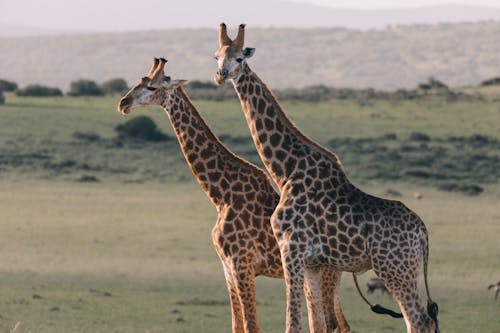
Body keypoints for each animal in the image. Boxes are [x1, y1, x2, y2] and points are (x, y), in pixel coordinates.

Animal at [117, 57, 352, 332]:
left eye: (152, 87)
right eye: (138, 81)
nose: (123, 103)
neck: (221, 195)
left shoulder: (242, 265)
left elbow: (251, 326)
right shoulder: (227, 268)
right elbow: (237, 325)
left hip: (324, 272)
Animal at [213, 23, 440, 332]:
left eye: (239, 58)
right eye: (216, 57)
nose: (221, 76)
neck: (286, 171)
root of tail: (423, 233)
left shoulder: (291, 249)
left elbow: (293, 321)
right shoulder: (312, 262)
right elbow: (316, 323)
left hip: (395, 269)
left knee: (419, 320)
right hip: (404, 270)